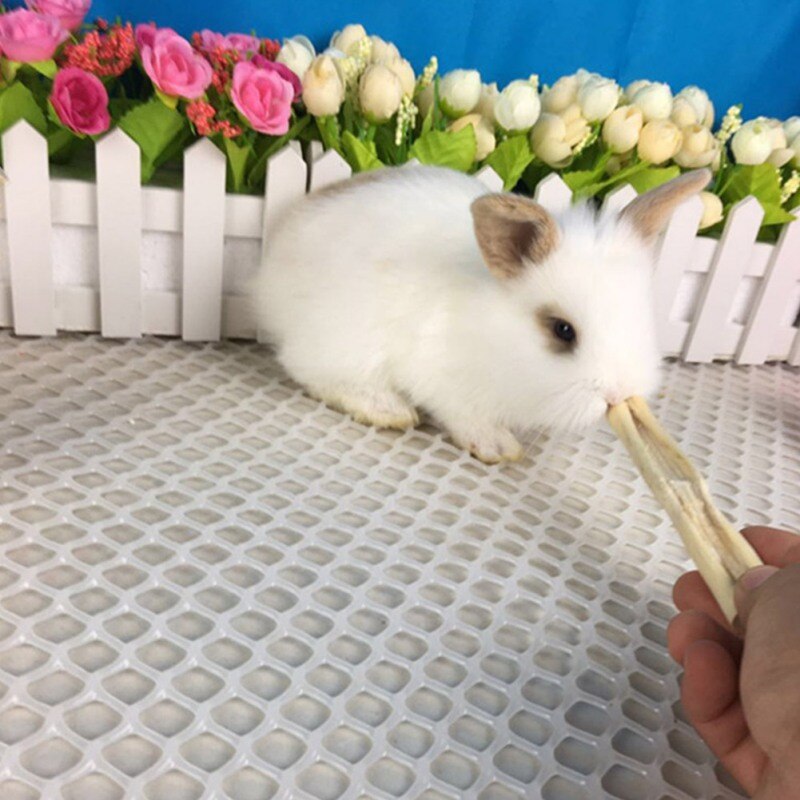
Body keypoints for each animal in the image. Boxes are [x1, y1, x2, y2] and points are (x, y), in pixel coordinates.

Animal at [252, 164, 711, 464]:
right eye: (563, 330)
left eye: (644, 316)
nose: (618, 394)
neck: (494, 332)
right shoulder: (442, 376)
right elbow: (466, 416)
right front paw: (498, 447)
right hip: (344, 340)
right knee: (309, 369)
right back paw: (387, 409)